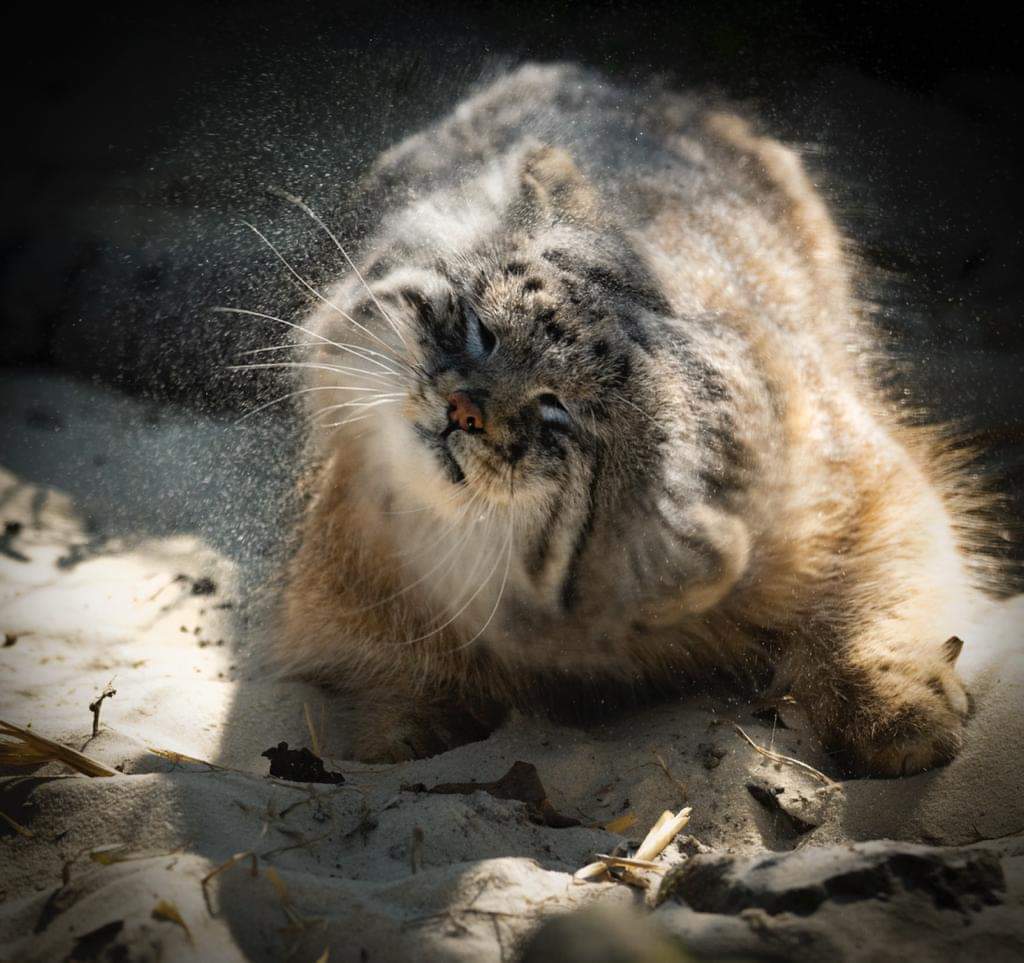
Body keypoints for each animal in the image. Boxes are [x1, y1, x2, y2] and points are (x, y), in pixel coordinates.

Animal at [266, 64, 999, 774]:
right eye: (482, 332)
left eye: (558, 412)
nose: (463, 409)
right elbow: (385, 677)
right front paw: (396, 731)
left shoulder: (863, 489)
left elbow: (880, 593)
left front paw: (896, 703)